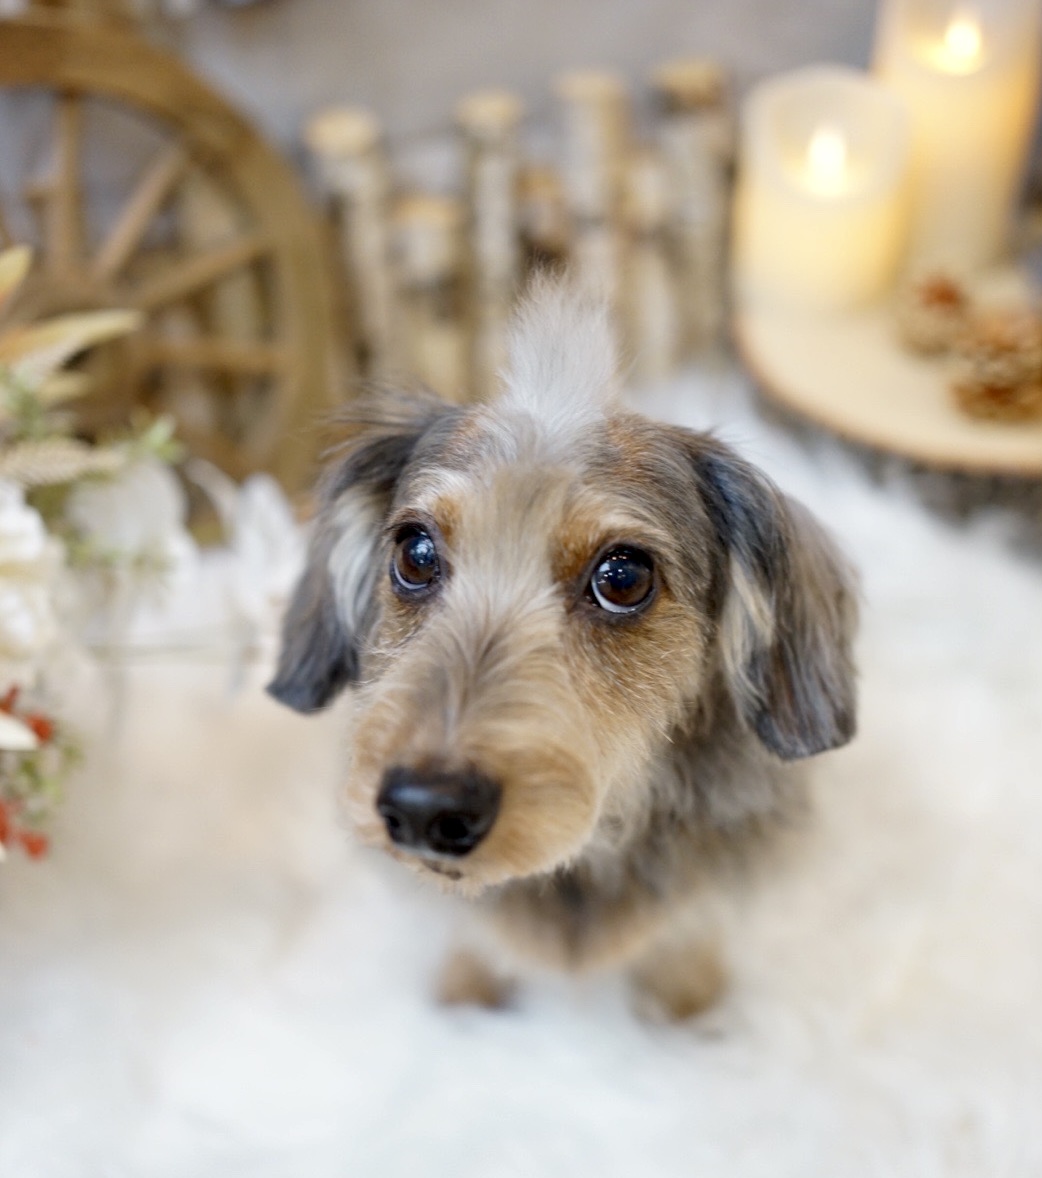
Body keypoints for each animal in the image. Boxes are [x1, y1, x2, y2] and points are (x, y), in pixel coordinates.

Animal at [266, 280, 852, 1017]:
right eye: (415, 553)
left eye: (623, 577)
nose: (425, 808)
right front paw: (465, 1005)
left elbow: (686, 949)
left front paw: (687, 1020)